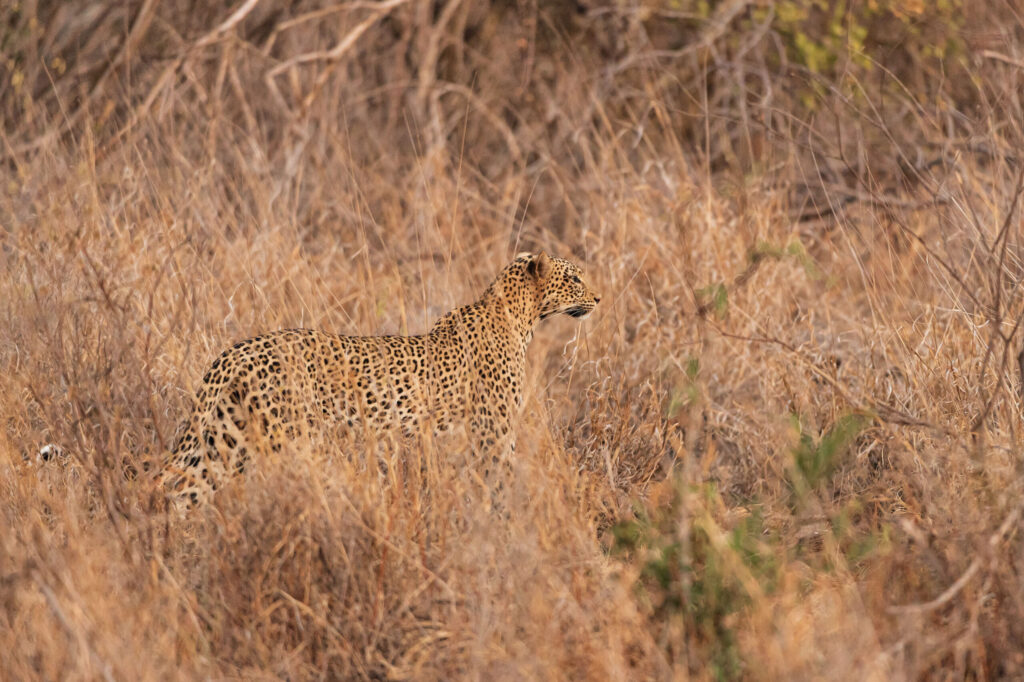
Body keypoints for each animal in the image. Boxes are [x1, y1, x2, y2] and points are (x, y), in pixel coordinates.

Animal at [160, 252, 600, 506]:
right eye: (575, 278)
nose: (598, 297)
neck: (520, 316)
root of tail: (238, 350)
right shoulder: (494, 434)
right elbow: (500, 487)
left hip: (225, 437)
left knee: (183, 491)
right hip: (279, 439)